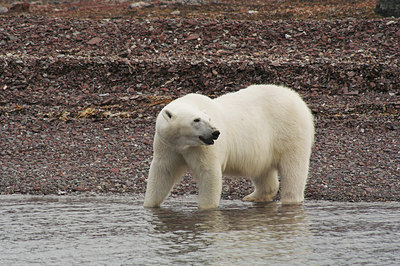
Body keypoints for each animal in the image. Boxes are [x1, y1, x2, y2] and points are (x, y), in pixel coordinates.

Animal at [144, 84, 316, 210]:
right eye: (196, 120)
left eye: (209, 118)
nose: (215, 133)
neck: (184, 144)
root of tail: (296, 98)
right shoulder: (167, 145)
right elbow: (163, 172)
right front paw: (150, 205)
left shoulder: (202, 149)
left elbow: (209, 173)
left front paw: (206, 209)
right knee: (262, 171)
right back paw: (254, 196)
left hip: (289, 131)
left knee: (293, 168)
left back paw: (288, 200)